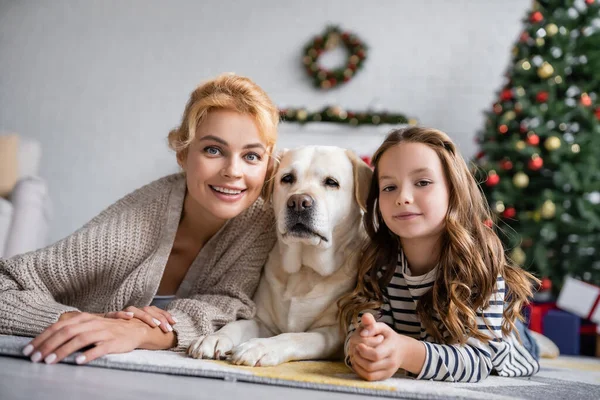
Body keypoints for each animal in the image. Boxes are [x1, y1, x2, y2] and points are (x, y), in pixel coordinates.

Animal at [188, 146, 370, 366]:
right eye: (287, 178)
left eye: (331, 182)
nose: (299, 202)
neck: (303, 270)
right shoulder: (262, 321)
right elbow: (238, 325)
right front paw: (214, 337)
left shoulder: (330, 334)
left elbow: (293, 337)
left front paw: (259, 347)